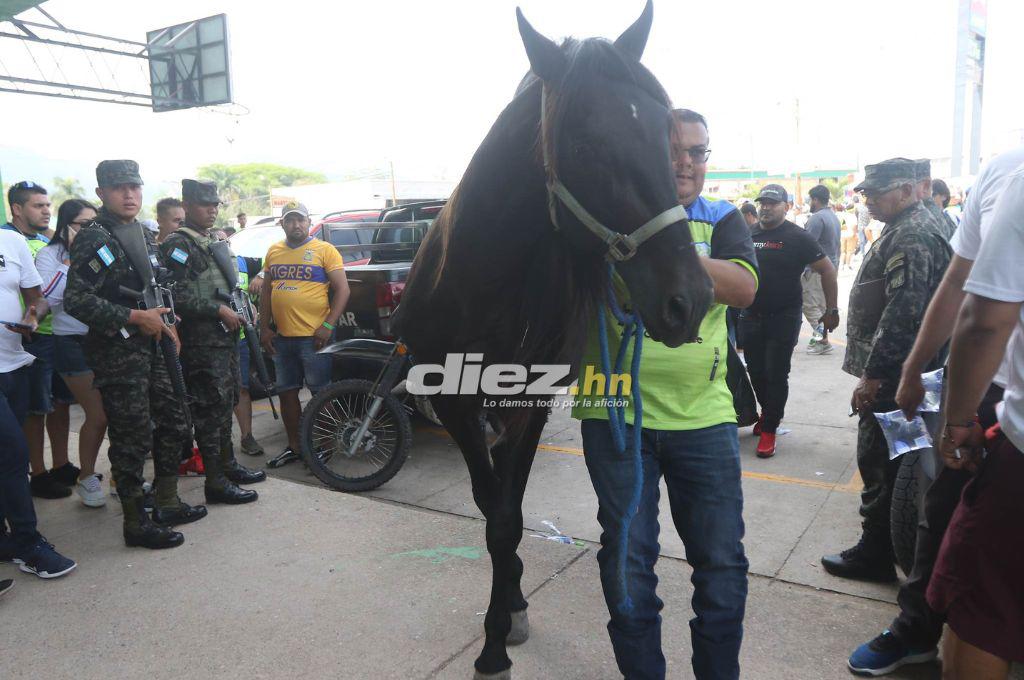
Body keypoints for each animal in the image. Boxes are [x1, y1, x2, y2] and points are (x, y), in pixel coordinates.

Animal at [392, 3, 713, 677]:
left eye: (666, 141)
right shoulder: (457, 405)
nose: (688, 300)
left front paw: (502, 619)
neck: (485, 285)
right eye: (584, 146)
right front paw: (497, 632)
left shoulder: (531, 405)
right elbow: (494, 512)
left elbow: (508, 514)